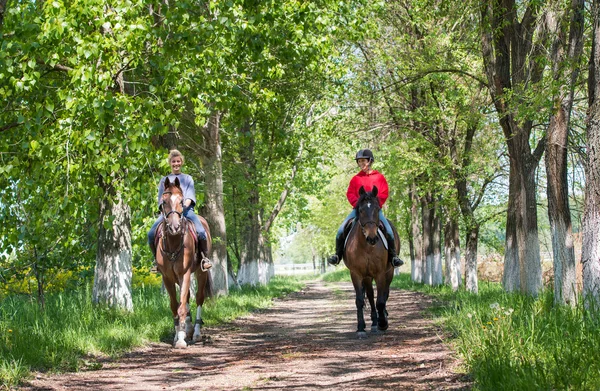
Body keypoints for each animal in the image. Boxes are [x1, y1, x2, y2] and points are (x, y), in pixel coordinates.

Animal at [156, 178, 212, 350]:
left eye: (181, 201)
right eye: (164, 201)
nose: (175, 227)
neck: (174, 243)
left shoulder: (184, 274)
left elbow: (181, 307)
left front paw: (181, 340)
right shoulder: (168, 277)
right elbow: (175, 305)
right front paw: (177, 334)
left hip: (201, 272)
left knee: (199, 298)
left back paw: (196, 333)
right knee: (186, 299)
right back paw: (187, 328)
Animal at [342, 187, 398, 340]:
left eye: (377, 209)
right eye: (360, 210)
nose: (372, 237)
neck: (367, 247)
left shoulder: (380, 273)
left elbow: (381, 300)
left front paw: (383, 323)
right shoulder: (356, 274)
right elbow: (360, 300)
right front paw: (361, 328)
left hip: (389, 272)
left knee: (384, 294)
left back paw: (381, 319)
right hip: (367, 277)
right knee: (371, 296)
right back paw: (373, 323)